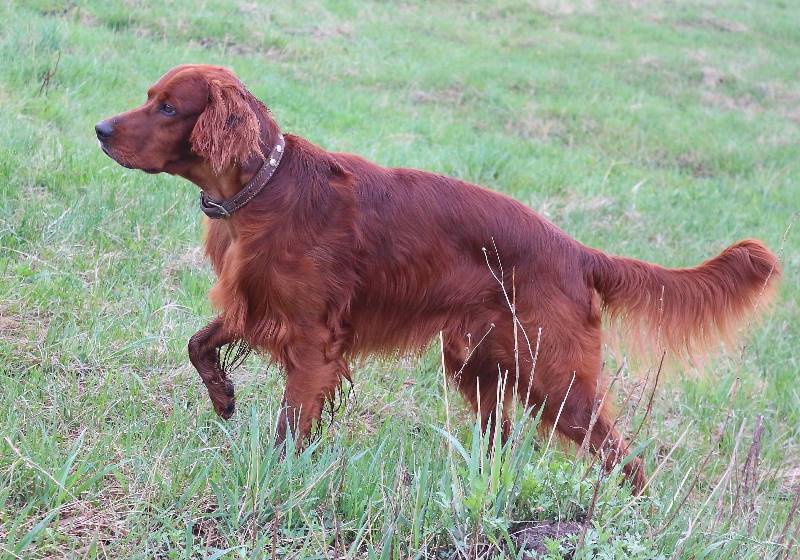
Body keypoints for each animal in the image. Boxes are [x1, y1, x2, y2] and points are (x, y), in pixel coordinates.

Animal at [95, 65, 780, 492]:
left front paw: (279, 474)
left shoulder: (315, 340)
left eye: (169, 106)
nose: (100, 130)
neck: (263, 191)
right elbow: (199, 342)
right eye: (149, 94)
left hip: (556, 379)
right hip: (479, 366)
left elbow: (292, 424)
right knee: (502, 441)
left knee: (623, 459)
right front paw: (224, 396)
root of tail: (578, 251)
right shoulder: (256, 306)